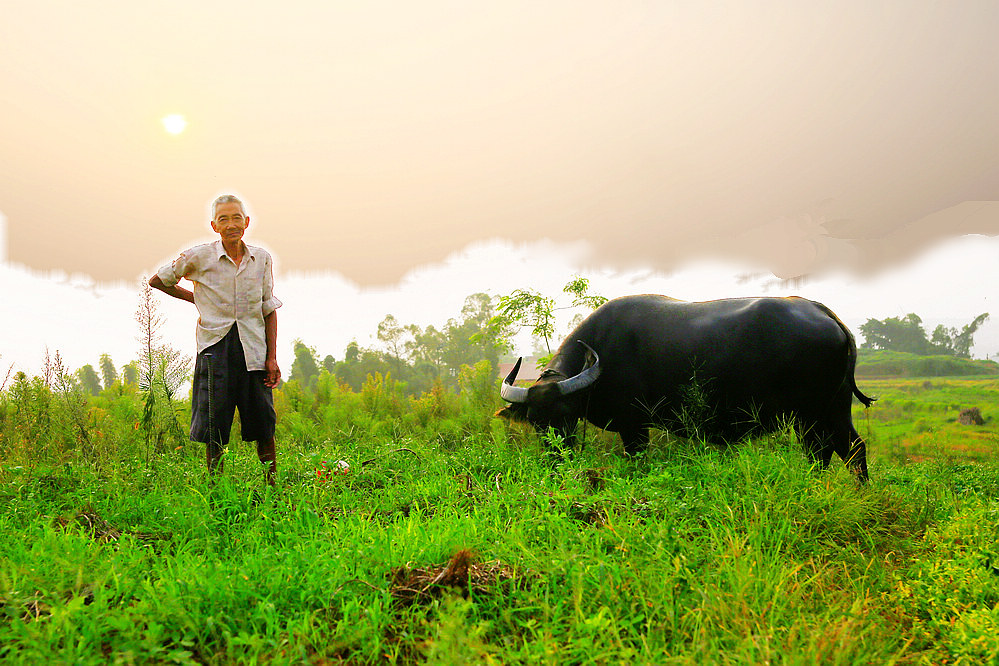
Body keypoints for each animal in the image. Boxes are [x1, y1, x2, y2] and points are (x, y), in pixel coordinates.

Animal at [500, 294, 876, 480]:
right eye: (535, 421)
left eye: (566, 416)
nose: (554, 459)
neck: (602, 354)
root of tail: (826, 314)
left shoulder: (634, 427)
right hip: (832, 408)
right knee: (842, 450)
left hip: (814, 411)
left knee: (832, 450)